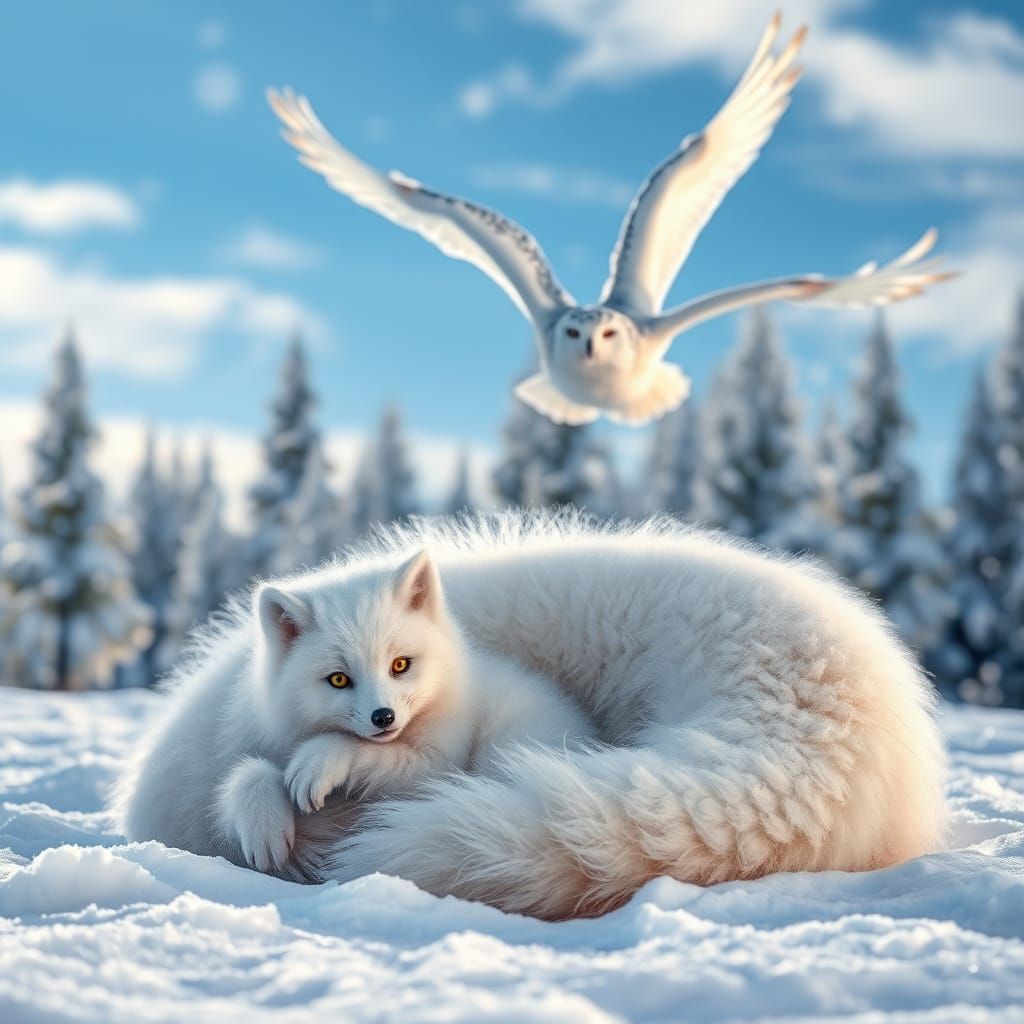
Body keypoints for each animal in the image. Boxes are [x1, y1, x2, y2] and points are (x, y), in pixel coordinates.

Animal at [114, 546, 595, 876]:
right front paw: (264, 823)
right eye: (339, 680)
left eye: (400, 665)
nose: (383, 718)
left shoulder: (439, 762)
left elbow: (365, 755)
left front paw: (321, 761)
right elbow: (248, 773)